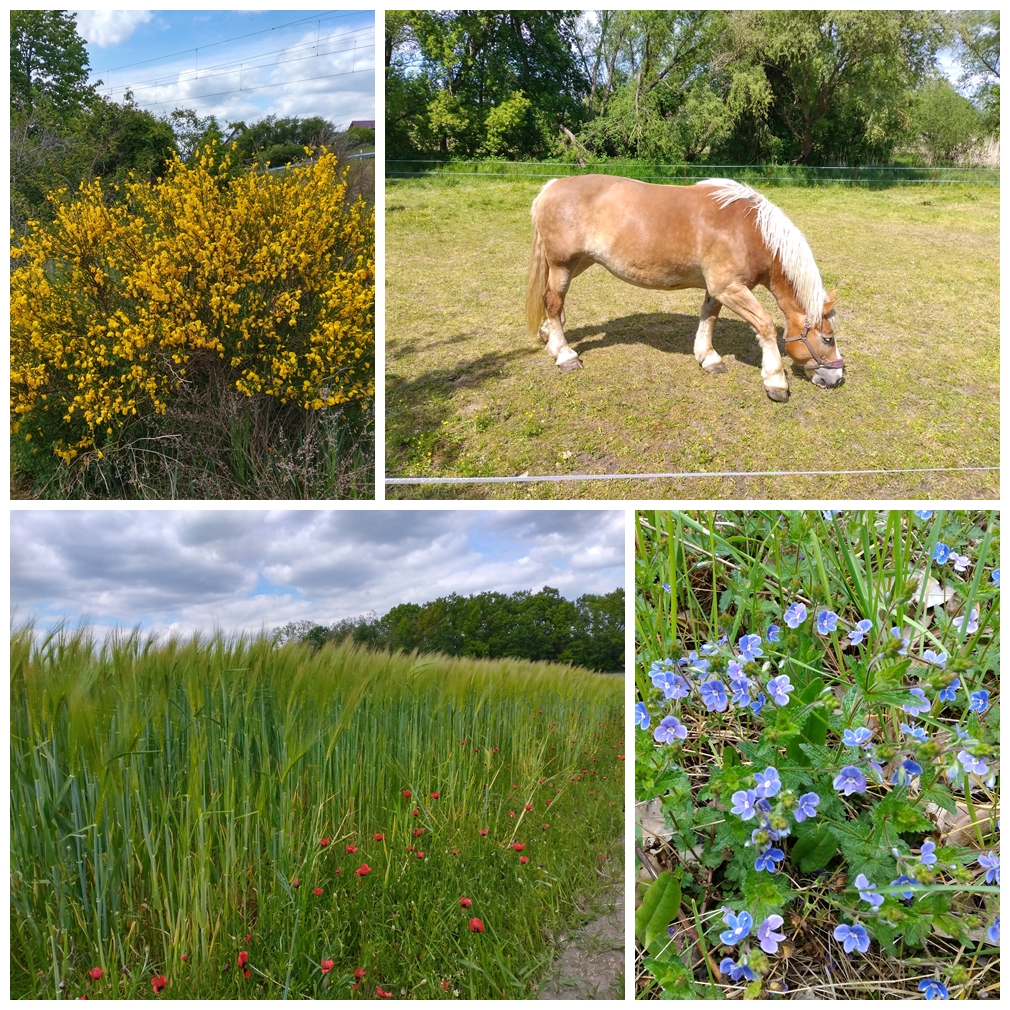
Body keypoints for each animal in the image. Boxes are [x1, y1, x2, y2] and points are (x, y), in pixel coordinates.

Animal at [525, 177, 840, 401]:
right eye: (827, 339)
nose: (836, 378)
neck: (750, 231)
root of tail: (552, 186)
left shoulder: (717, 290)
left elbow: (709, 318)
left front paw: (708, 357)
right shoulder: (729, 288)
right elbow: (764, 325)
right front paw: (776, 381)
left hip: (578, 263)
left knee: (553, 301)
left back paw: (549, 337)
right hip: (563, 264)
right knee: (553, 301)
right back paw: (564, 355)